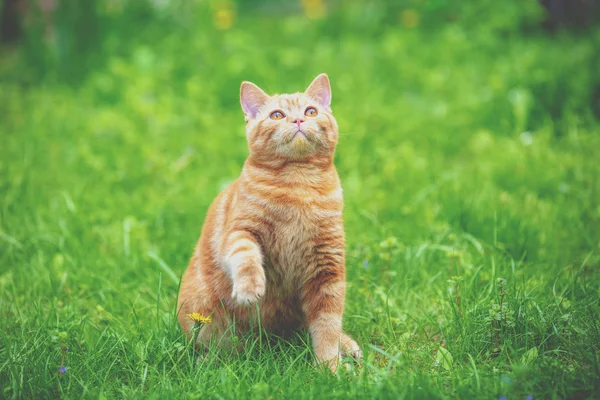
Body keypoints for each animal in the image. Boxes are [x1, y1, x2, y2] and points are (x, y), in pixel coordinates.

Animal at [176, 72, 358, 372]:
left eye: (310, 111)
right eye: (277, 115)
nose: (297, 120)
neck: (298, 184)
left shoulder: (327, 268)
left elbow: (327, 325)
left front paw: (330, 367)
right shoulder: (240, 232)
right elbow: (246, 257)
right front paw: (250, 288)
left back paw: (348, 345)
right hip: (204, 317)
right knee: (214, 348)